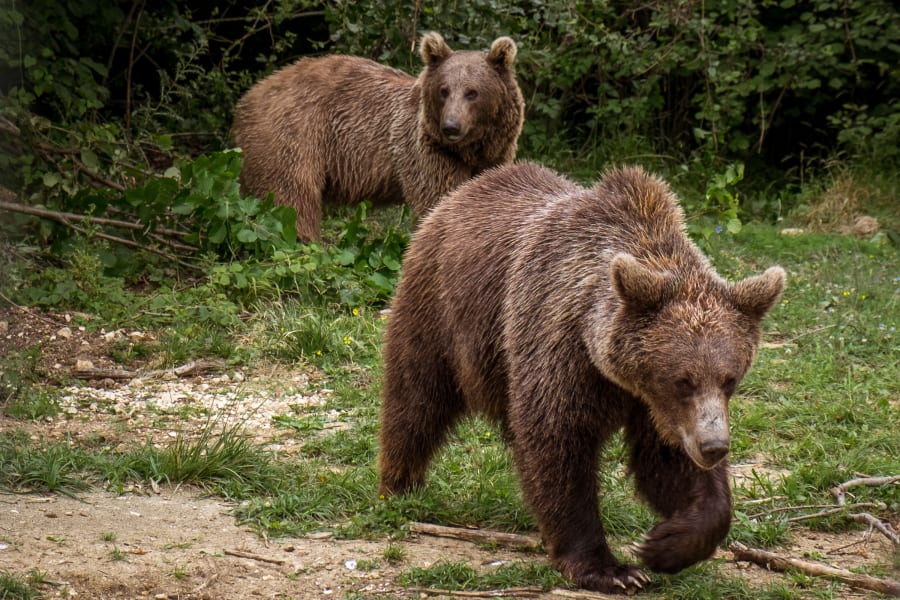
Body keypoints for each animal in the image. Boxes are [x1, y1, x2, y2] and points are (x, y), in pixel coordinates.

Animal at [230, 32, 524, 241]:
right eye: (444, 90)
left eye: (472, 92)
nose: (450, 127)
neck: (471, 148)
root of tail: (248, 97)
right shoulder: (427, 150)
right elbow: (438, 199)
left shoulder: (494, 156)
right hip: (292, 135)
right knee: (289, 199)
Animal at [378, 162, 786, 593]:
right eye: (683, 380)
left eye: (730, 379)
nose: (714, 447)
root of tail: (464, 191)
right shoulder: (563, 347)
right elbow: (558, 444)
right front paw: (610, 569)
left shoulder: (655, 407)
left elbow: (666, 463)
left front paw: (666, 543)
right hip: (441, 311)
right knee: (416, 398)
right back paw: (400, 485)